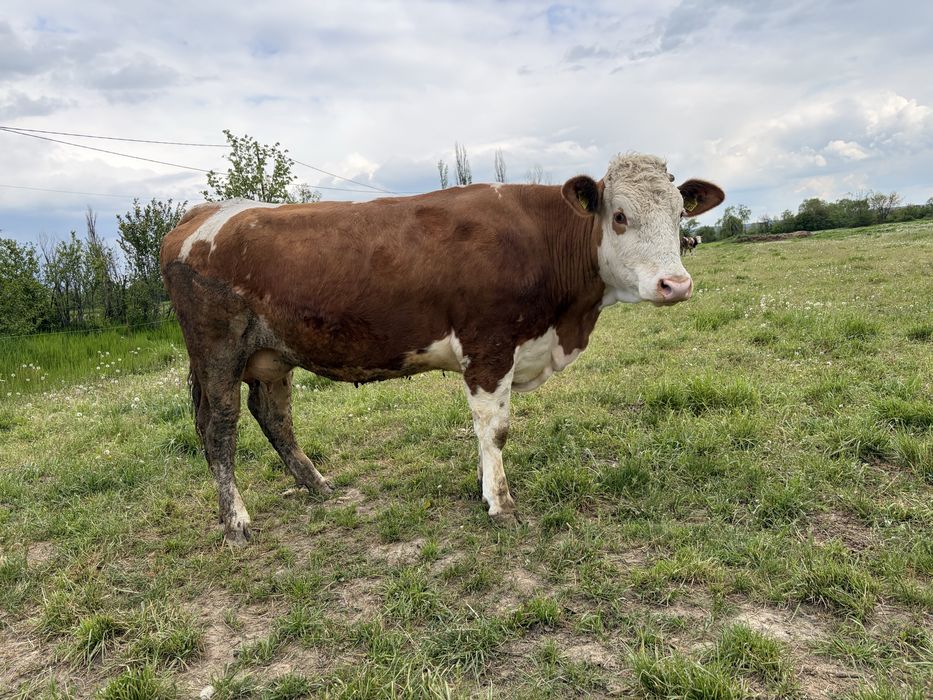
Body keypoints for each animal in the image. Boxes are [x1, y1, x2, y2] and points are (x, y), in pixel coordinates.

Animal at [160, 153, 724, 545]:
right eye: (621, 216)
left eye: (680, 215)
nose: (675, 285)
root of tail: (208, 211)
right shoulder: (489, 346)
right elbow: (495, 427)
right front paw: (501, 503)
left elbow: (483, 431)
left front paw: (483, 486)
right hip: (217, 350)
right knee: (220, 428)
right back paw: (235, 522)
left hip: (272, 355)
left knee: (274, 416)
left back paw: (317, 485)